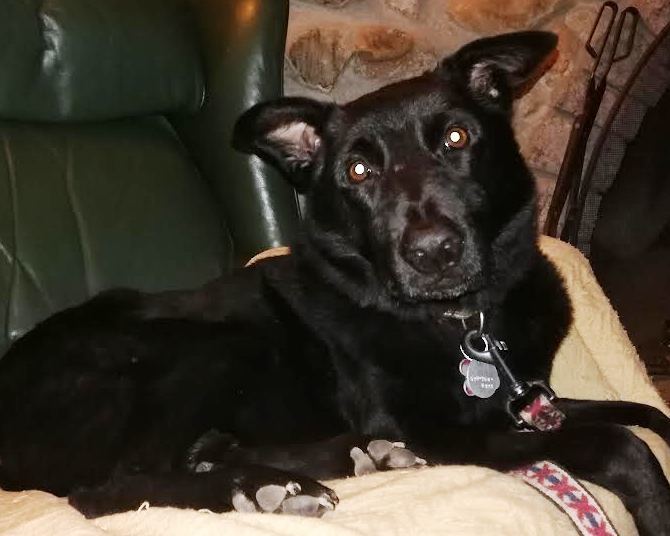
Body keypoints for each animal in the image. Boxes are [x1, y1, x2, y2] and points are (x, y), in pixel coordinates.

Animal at [1, 31, 670, 532]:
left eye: (457, 138)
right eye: (357, 171)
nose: (434, 254)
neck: (464, 322)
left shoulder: (531, 402)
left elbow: (636, 412)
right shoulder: (451, 434)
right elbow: (621, 442)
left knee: (201, 451)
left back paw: (346, 460)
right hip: (205, 340)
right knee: (111, 486)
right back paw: (261, 489)